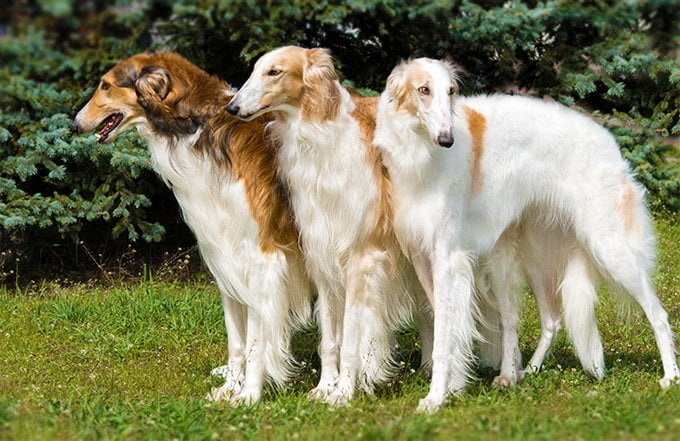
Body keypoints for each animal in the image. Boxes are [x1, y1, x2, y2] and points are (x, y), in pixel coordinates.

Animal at [71, 51, 310, 402]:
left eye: (106, 85)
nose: (74, 124)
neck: (202, 128)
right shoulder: (225, 256)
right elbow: (236, 341)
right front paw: (229, 387)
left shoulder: (261, 259)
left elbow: (255, 342)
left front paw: (248, 395)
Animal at [227, 46, 430, 404]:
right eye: (255, 68)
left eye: (274, 71)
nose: (233, 107)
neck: (322, 139)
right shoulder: (322, 258)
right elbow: (330, 340)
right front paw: (325, 387)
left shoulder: (360, 258)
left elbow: (350, 341)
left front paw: (344, 392)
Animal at [374, 56, 676, 410]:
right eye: (423, 89)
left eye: (450, 91)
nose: (447, 139)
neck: (421, 152)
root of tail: (610, 144)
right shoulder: (423, 257)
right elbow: (447, 328)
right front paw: (454, 386)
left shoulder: (447, 257)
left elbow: (445, 338)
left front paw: (436, 397)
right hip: (535, 258)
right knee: (550, 320)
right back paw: (522, 372)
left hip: (609, 247)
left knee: (658, 313)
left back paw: (670, 376)